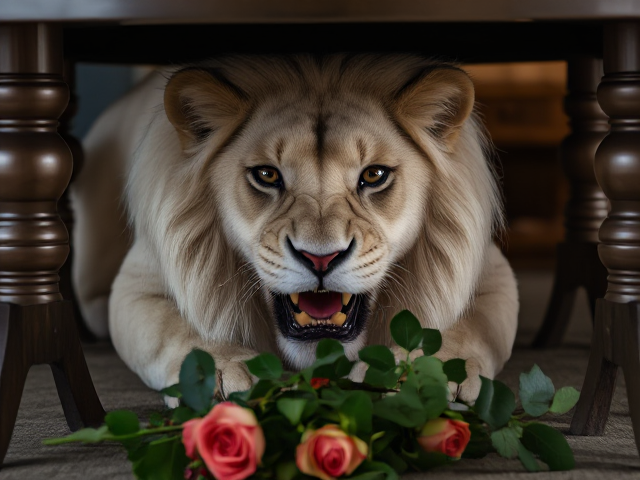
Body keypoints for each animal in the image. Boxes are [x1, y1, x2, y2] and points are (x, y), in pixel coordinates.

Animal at [70, 54, 518, 402]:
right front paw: (219, 369)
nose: (321, 258)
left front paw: (430, 367)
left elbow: (463, 328)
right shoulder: (137, 284)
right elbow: (179, 328)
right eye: (267, 175)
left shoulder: (490, 272)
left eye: (374, 175)